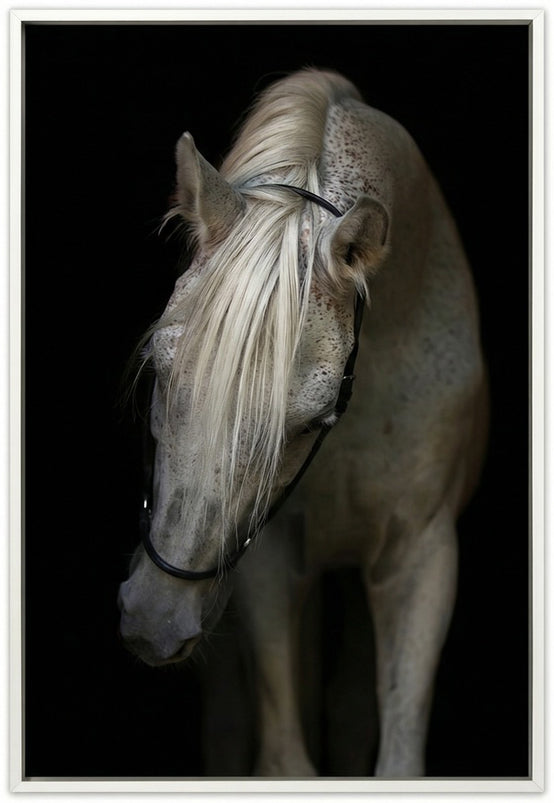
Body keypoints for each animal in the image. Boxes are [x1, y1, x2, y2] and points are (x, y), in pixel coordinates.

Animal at [118, 68, 488, 777]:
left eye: (314, 418)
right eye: (159, 369)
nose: (154, 618)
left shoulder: (422, 557)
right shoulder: (269, 559)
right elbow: (284, 756)